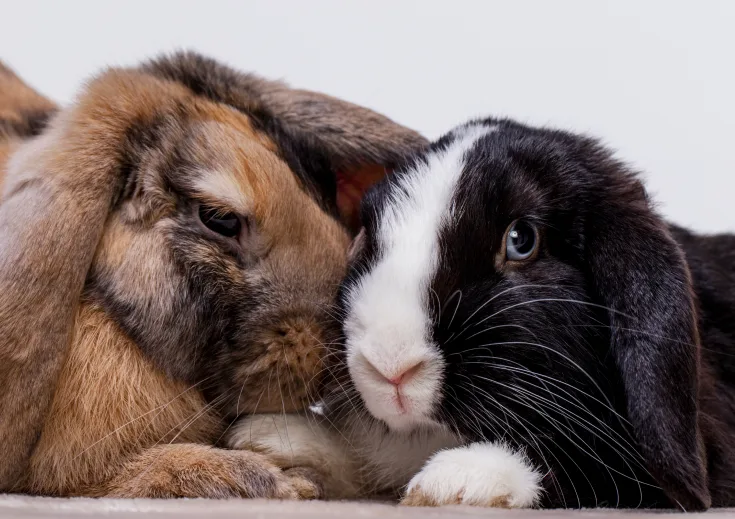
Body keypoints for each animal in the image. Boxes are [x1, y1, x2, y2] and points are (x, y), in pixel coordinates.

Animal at [229, 117, 735, 511]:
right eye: (366, 236)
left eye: (522, 240)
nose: (391, 367)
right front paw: (270, 437)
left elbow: (581, 466)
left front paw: (457, 480)